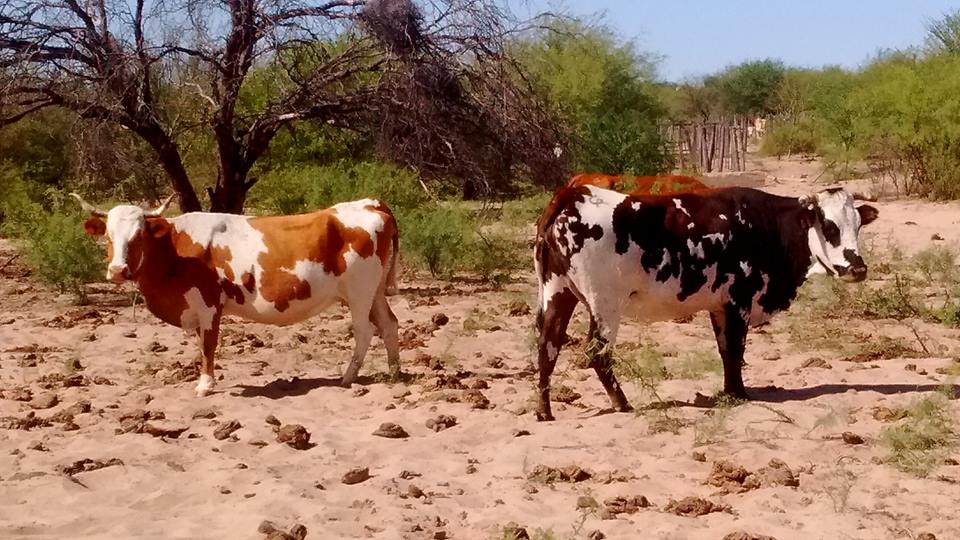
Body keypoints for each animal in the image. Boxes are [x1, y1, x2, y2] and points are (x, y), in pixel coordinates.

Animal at [73, 194, 400, 396]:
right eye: (108, 237)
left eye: (138, 236)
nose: (117, 270)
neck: (175, 250)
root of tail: (371, 204)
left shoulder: (208, 304)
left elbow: (208, 345)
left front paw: (205, 385)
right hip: (374, 292)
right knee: (389, 324)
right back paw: (394, 370)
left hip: (359, 292)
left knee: (365, 331)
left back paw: (347, 378)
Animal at [536, 186, 880, 422]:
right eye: (830, 227)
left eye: (858, 225)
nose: (858, 268)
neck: (764, 224)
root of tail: (573, 194)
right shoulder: (739, 300)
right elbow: (736, 349)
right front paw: (738, 393)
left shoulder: (719, 305)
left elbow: (725, 350)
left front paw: (730, 390)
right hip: (605, 304)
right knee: (597, 353)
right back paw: (621, 403)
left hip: (557, 293)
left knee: (547, 346)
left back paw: (544, 411)